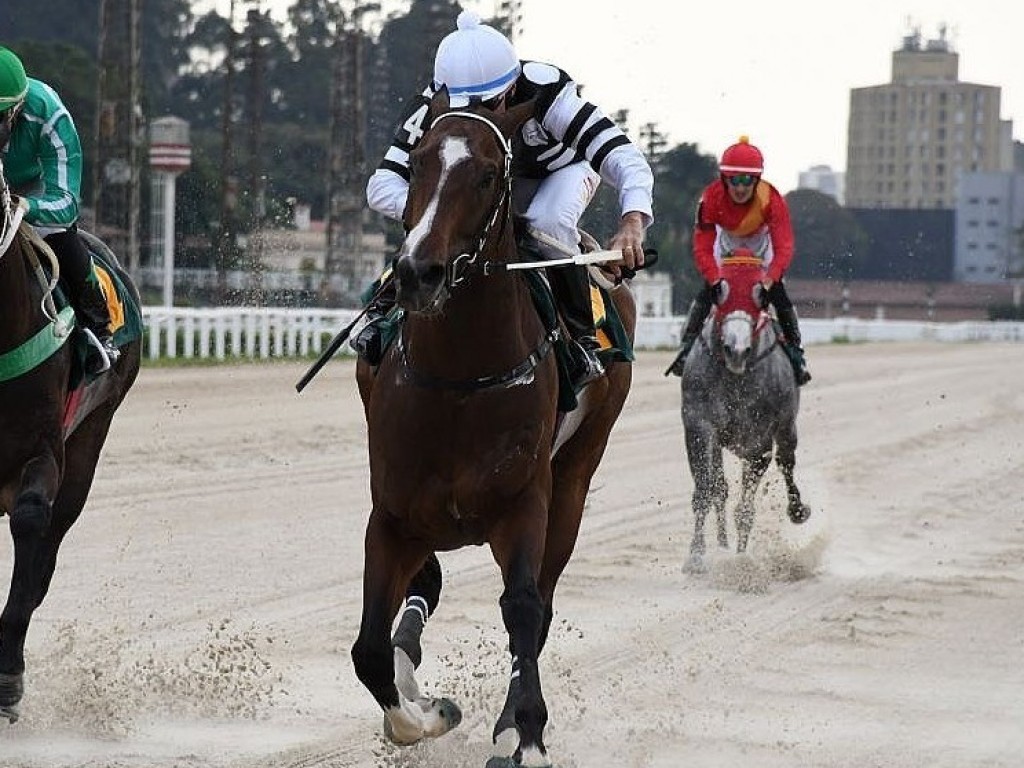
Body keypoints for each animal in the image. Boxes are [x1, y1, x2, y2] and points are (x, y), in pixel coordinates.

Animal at [356, 87, 634, 765]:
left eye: (487, 175)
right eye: (418, 165)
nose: (418, 273)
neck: (460, 378)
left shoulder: (523, 501)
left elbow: (524, 608)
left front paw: (524, 731)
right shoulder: (393, 515)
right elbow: (370, 648)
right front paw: (421, 715)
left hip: (576, 475)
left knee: (544, 600)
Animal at [675, 262, 811, 569]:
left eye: (761, 295)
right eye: (718, 292)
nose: (736, 350)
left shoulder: (759, 441)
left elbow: (745, 509)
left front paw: (740, 559)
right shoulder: (700, 427)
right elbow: (708, 490)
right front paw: (697, 556)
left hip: (787, 429)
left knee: (787, 463)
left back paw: (797, 510)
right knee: (720, 488)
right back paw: (722, 543)